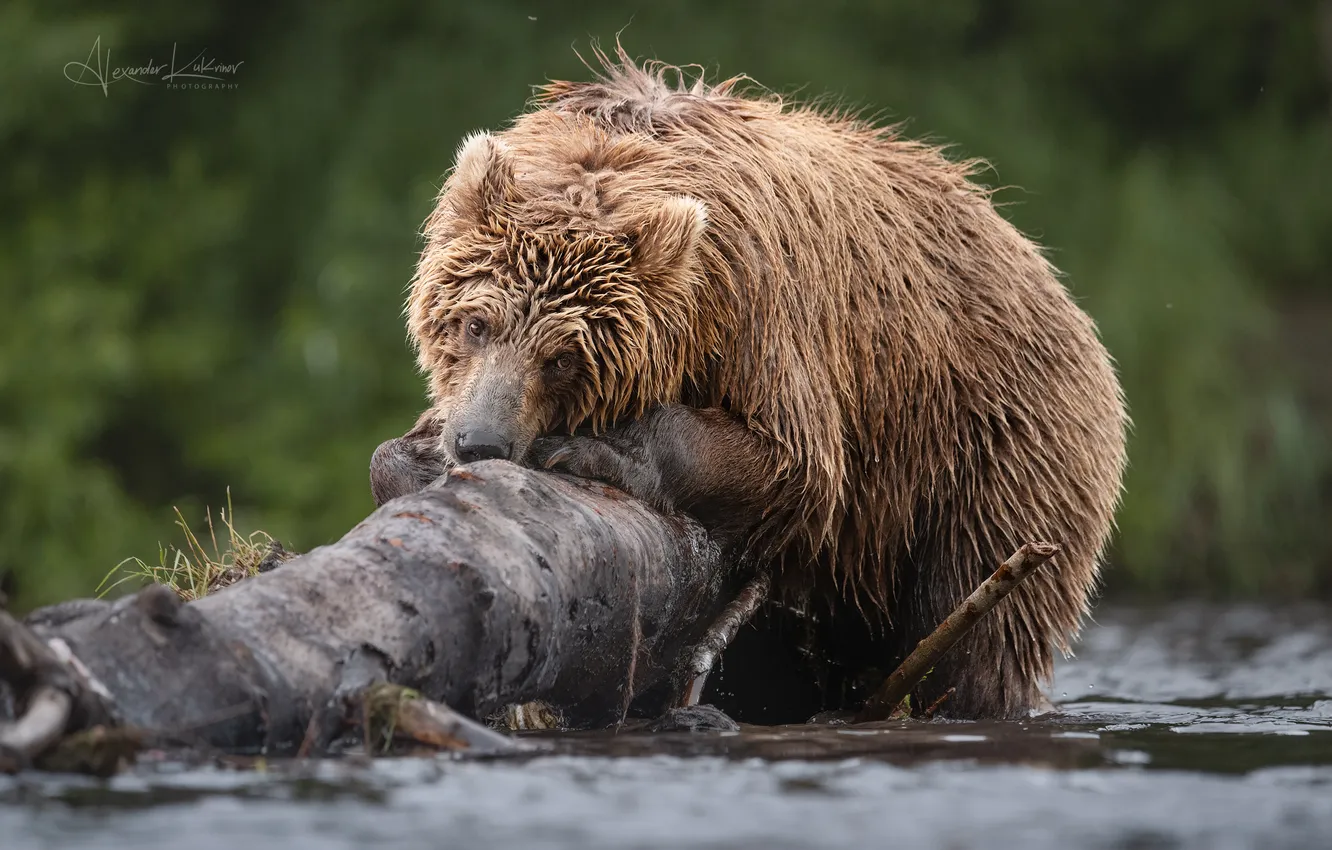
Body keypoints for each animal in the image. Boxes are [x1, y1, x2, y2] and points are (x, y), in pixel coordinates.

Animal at [373, 47, 1128, 721]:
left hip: (987, 440)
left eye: (562, 357)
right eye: (476, 323)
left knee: (978, 618)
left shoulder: (763, 312)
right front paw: (415, 453)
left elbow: (794, 460)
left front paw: (602, 447)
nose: (481, 442)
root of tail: (1049, 276)